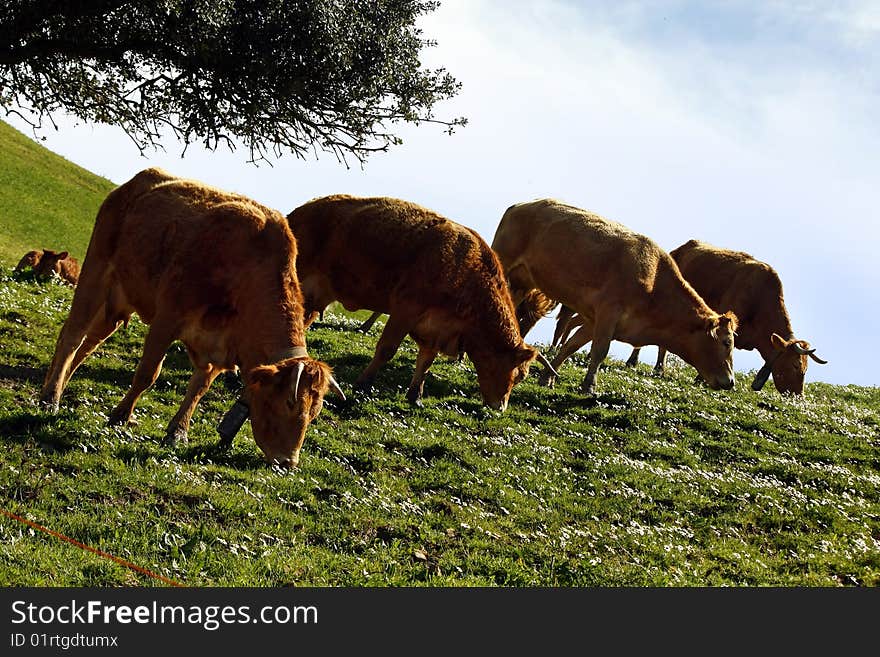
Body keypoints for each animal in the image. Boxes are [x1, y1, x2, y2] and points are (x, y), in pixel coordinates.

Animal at [42, 168, 344, 466]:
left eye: (314, 413)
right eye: (289, 403)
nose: (288, 462)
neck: (247, 269)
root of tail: (136, 181)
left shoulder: (223, 348)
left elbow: (198, 389)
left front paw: (177, 432)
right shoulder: (167, 319)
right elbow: (147, 374)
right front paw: (120, 415)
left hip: (118, 301)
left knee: (88, 344)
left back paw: (59, 385)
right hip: (97, 271)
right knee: (73, 336)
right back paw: (51, 397)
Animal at [492, 199, 740, 394]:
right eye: (727, 342)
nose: (731, 381)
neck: (654, 285)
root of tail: (521, 205)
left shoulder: (593, 320)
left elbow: (572, 345)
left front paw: (548, 377)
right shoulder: (609, 312)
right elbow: (599, 351)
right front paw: (589, 385)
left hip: (523, 283)